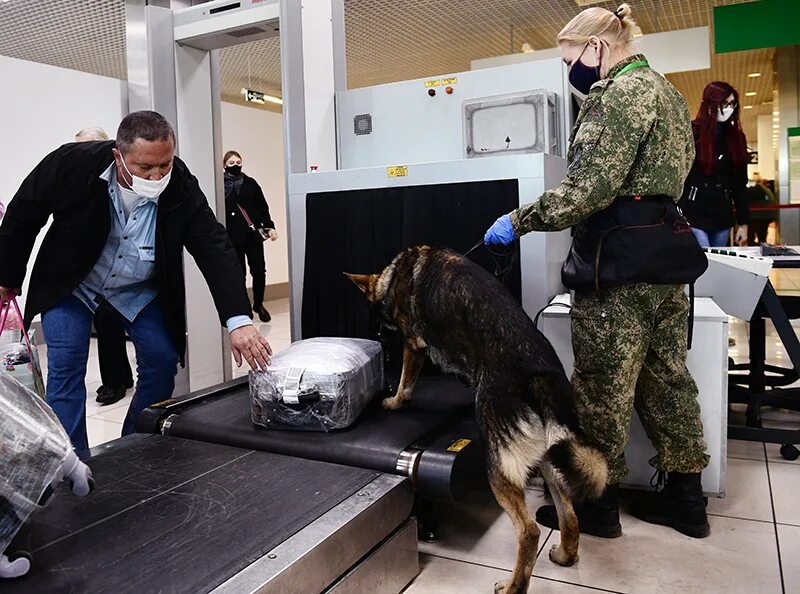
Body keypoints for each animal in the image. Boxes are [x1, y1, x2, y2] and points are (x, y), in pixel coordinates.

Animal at [346, 245, 608, 592]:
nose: (376, 335)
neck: (395, 274)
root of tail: (538, 377)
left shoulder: (413, 346)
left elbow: (405, 381)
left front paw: (395, 401)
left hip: (497, 466)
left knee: (529, 531)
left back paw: (513, 586)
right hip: (551, 462)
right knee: (570, 515)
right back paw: (565, 555)